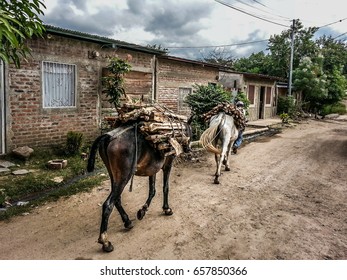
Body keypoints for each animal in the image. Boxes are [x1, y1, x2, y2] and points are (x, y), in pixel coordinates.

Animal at [86, 121, 192, 253]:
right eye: (190, 132)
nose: (189, 150)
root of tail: (109, 137)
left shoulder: (153, 169)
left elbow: (152, 190)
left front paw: (142, 210)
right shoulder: (168, 163)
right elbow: (165, 188)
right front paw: (166, 209)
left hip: (114, 176)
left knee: (117, 200)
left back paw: (127, 221)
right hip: (124, 177)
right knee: (108, 204)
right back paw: (105, 241)